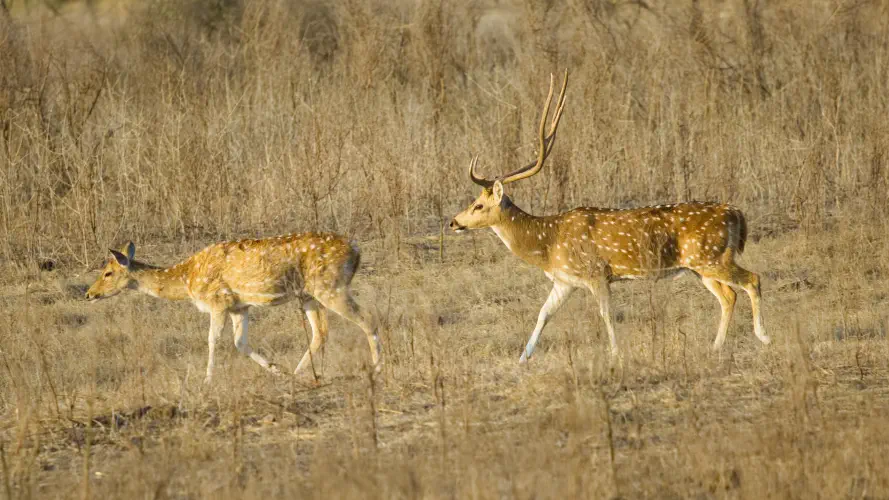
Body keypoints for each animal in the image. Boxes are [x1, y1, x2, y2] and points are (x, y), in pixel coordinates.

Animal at [85, 233, 382, 384]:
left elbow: (212, 340)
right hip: (308, 294)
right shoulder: (240, 306)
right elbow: (240, 342)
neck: (187, 279)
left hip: (330, 286)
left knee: (368, 318)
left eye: (108, 272)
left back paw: (377, 367)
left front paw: (207, 382)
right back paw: (299, 373)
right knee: (321, 331)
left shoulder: (218, 301)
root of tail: (357, 251)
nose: (89, 293)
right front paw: (275, 369)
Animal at [450, 70, 768, 363]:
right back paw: (716, 347)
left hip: (710, 257)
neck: (548, 243)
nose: (454, 222)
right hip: (700, 266)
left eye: (478, 205)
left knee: (752, 279)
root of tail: (736, 214)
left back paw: (763, 336)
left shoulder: (597, 273)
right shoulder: (565, 280)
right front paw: (521, 359)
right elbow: (543, 313)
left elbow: (606, 314)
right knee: (729, 296)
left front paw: (615, 353)